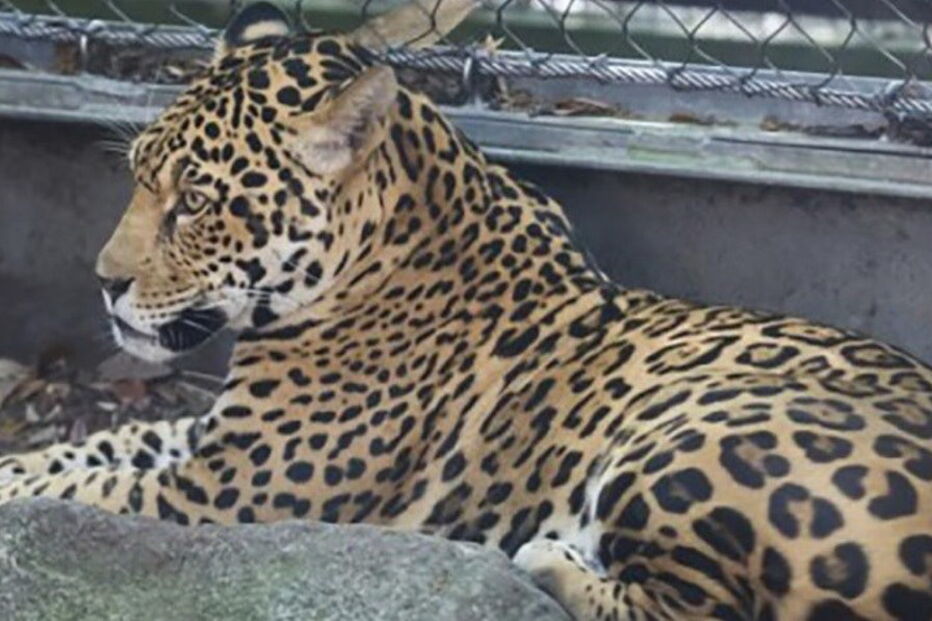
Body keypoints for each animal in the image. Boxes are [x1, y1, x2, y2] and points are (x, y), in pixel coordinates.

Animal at [1, 2, 930, 619]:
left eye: (194, 202)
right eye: (139, 176)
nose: (104, 281)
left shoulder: (223, 493)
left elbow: (94, 484)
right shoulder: (210, 438)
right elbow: (89, 449)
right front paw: (20, 465)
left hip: (696, 435)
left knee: (701, 610)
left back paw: (547, 557)